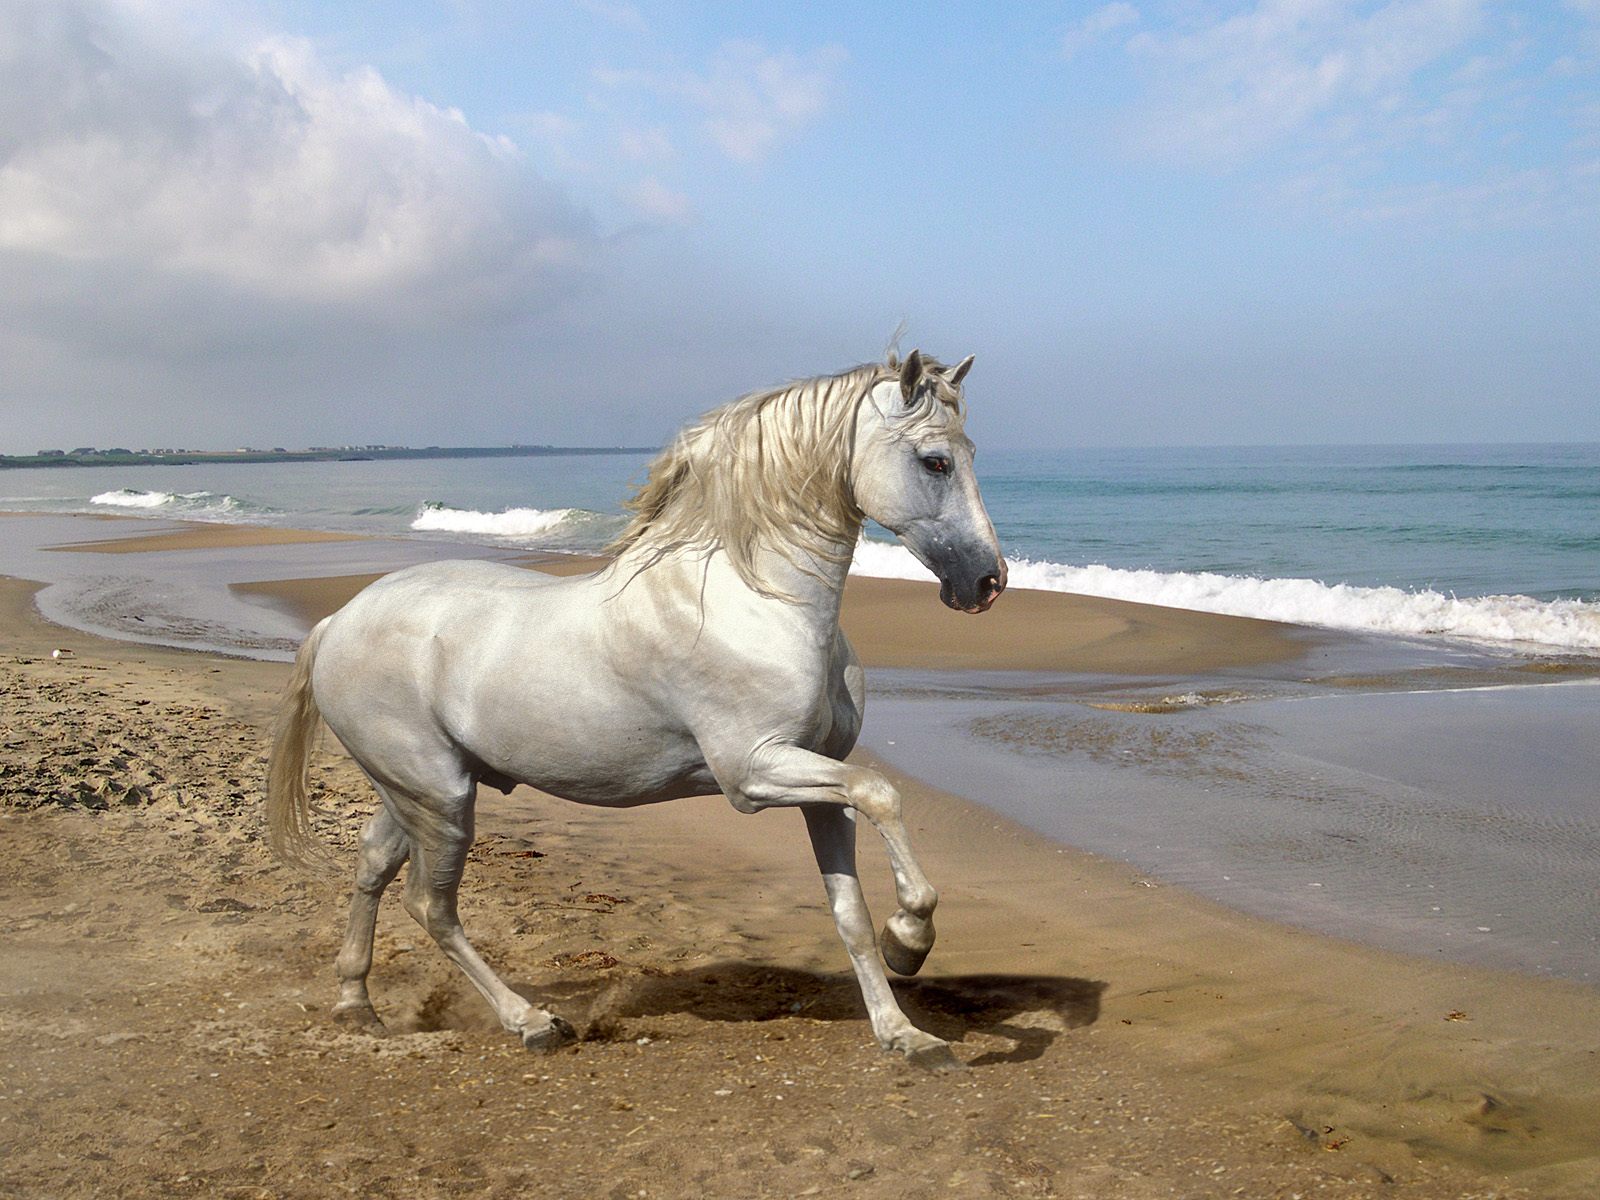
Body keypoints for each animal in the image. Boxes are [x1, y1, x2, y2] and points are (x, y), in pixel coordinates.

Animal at [266, 349, 1006, 1070]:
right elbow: (884, 794)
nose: (987, 581)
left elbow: (850, 910)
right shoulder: (753, 774)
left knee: (372, 866)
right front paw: (910, 939)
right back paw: (532, 1022)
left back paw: (357, 1005)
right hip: (440, 797)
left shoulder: (821, 782)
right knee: (431, 905)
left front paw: (905, 1034)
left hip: (415, 791)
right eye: (935, 460)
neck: (755, 599)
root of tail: (337, 622)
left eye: (969, 452)